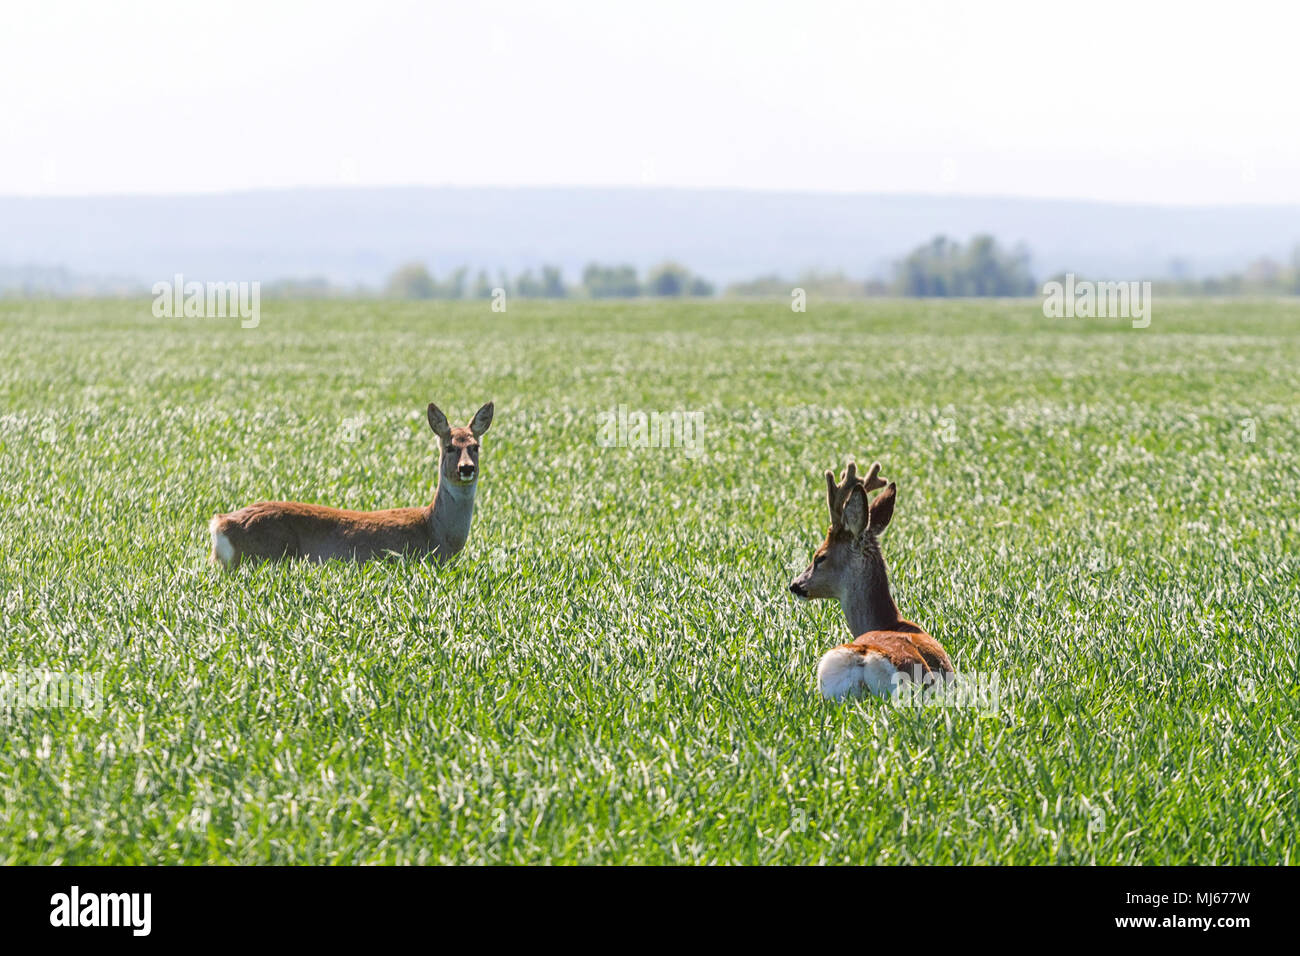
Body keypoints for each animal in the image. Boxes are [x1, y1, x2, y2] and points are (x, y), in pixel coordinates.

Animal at [208, 401, 493, 570]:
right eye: (449, 447)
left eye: (475, 446)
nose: (466, 468)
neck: (436, 532)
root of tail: (220, 524)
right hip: (265, 555)